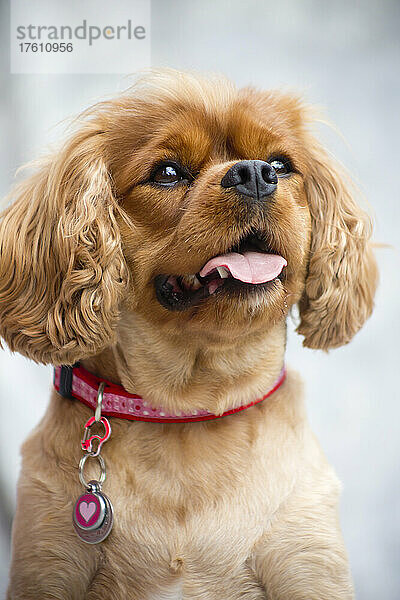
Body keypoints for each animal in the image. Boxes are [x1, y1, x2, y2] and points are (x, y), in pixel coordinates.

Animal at [0, 69, 376, 596]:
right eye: (168, 172)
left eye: (281, 165)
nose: (254, 173)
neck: (189, 410)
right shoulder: (47, 564)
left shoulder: (307, 563)